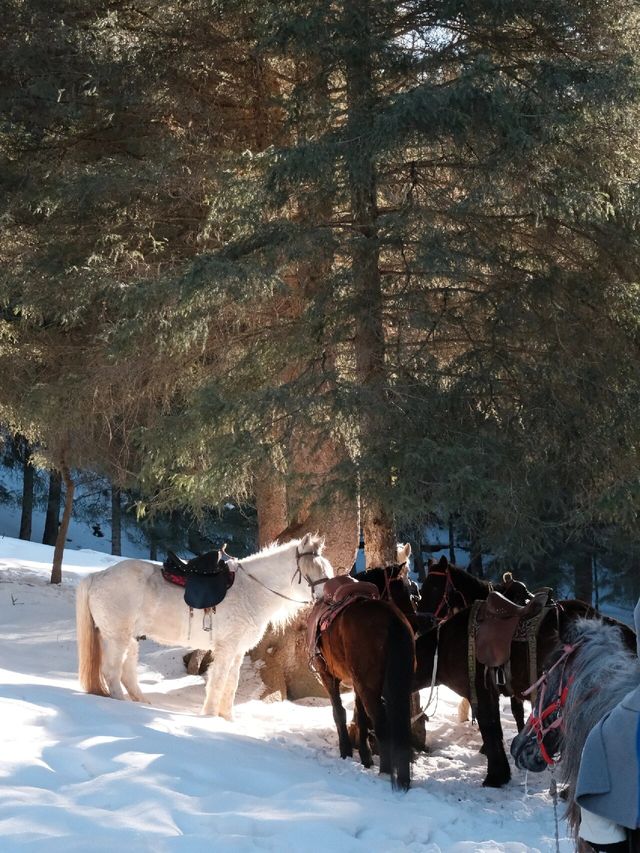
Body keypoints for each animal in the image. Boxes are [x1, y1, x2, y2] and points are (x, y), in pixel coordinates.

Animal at [75, 532, 336, 720]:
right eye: (312, 568)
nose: (327, 597)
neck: (251, 590)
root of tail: (97, 576)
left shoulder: (238, 651)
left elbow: (231, 684)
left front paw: (227, 719)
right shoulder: (226, 648)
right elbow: (218, 681)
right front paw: (210, 715)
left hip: (130, 639)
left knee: (127, 673)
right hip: (116, 638)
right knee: (112, 672)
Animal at [310, 588, 416, 788]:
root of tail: (392, 618)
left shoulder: (327, 675)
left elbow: (339, 712)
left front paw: (345, 750)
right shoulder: (356, 682)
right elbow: (360, 717)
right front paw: (365, 757)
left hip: (367, 686)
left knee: (381, 723)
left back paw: (385, 772)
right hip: (396, 685)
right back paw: (403, 779)